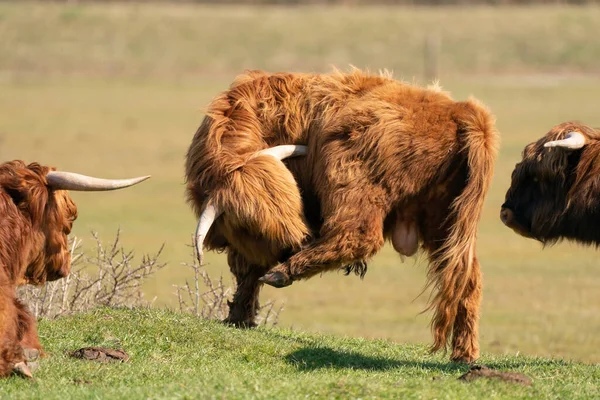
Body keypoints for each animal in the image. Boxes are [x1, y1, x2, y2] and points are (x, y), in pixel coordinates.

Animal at [186, 69, 496, 362]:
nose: (296, 245)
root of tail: (460, 110)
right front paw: (240, 317)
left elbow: (247, 270)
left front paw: (238, 317)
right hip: (447, 223)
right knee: (466, 278)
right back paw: (464, 353)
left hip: (348, 172)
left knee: (358, 237)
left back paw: (283, 272)